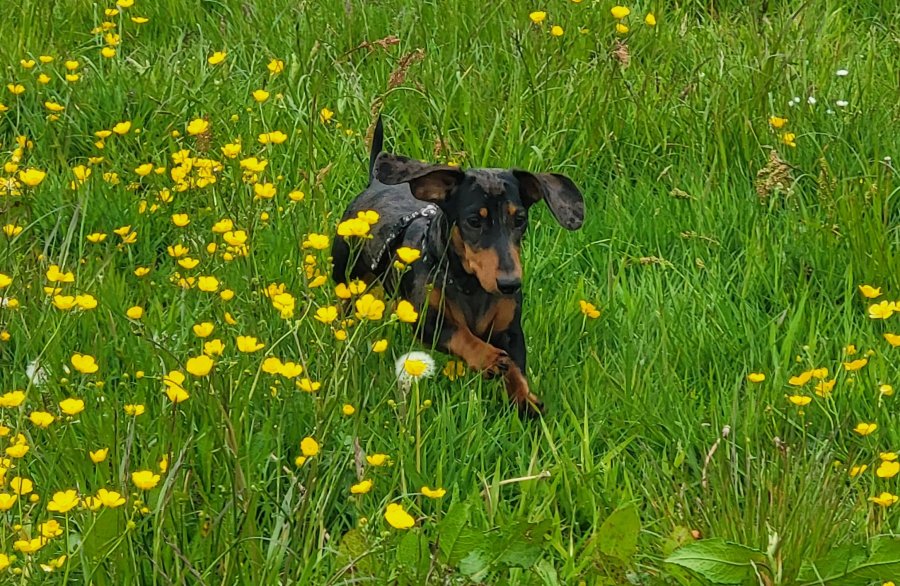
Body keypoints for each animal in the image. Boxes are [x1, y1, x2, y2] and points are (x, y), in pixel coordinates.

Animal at [331, 117, 584, 414]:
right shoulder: (429, 323)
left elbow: (516, 367)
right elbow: (461, 335)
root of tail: (374, 184)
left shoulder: (510, 330)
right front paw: (489, 358)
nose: (510, 284)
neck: (470, 286)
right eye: (474, 221)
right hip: (347, 281)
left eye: (520, 219)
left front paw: (525, 402)